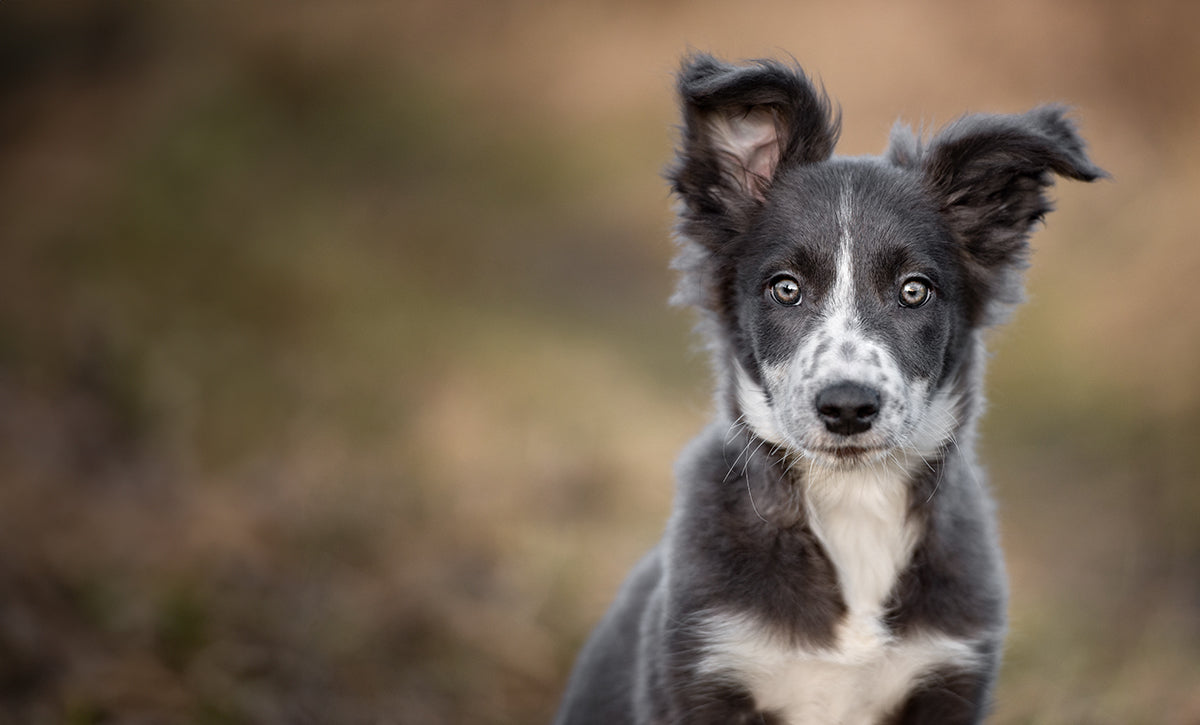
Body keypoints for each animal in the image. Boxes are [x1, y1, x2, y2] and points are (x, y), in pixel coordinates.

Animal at [552, 55, 1099, 725]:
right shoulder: (704, 671)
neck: (854, 505)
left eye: (914, 290)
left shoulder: (950, 677)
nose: (847, 407)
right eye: (785, 288)